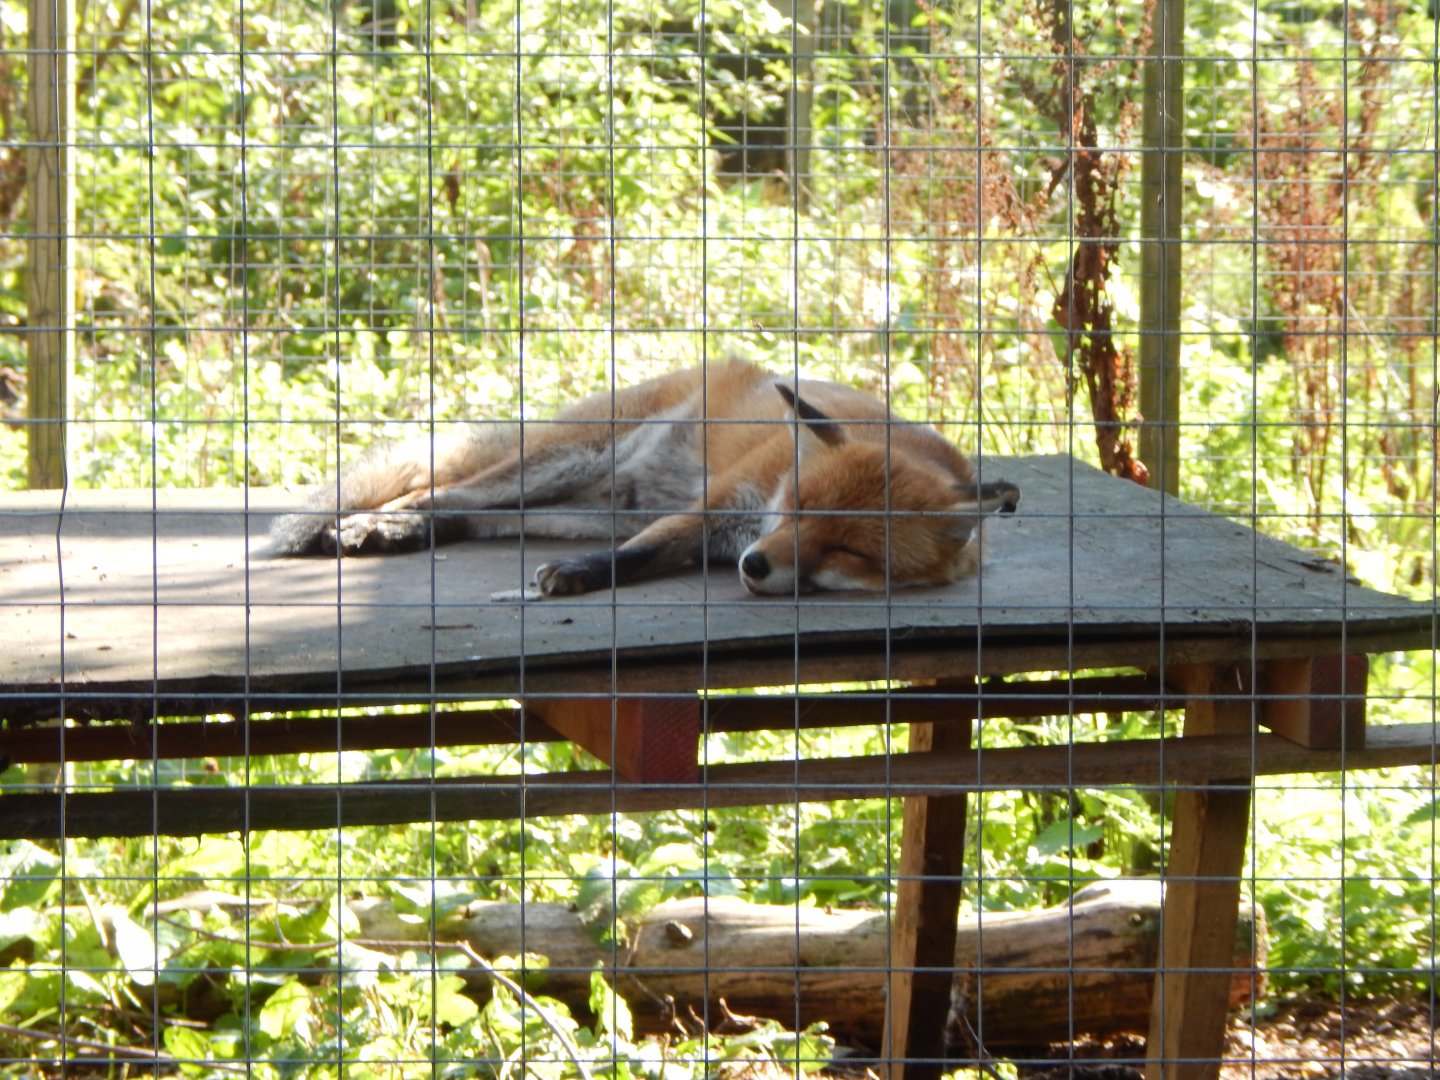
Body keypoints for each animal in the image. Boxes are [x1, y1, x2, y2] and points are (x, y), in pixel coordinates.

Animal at [269, 358, 1020, 597]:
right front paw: (578, 577)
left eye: (848, 549)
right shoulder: (720, 504)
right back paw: (377, 525)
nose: (753, 566)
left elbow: (643, 556)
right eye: (798, 508)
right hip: (561, 463)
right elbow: (642, 552)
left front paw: (582, 576)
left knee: (465, 517)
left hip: (579, 508)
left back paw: (394, 532)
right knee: (435, 493)